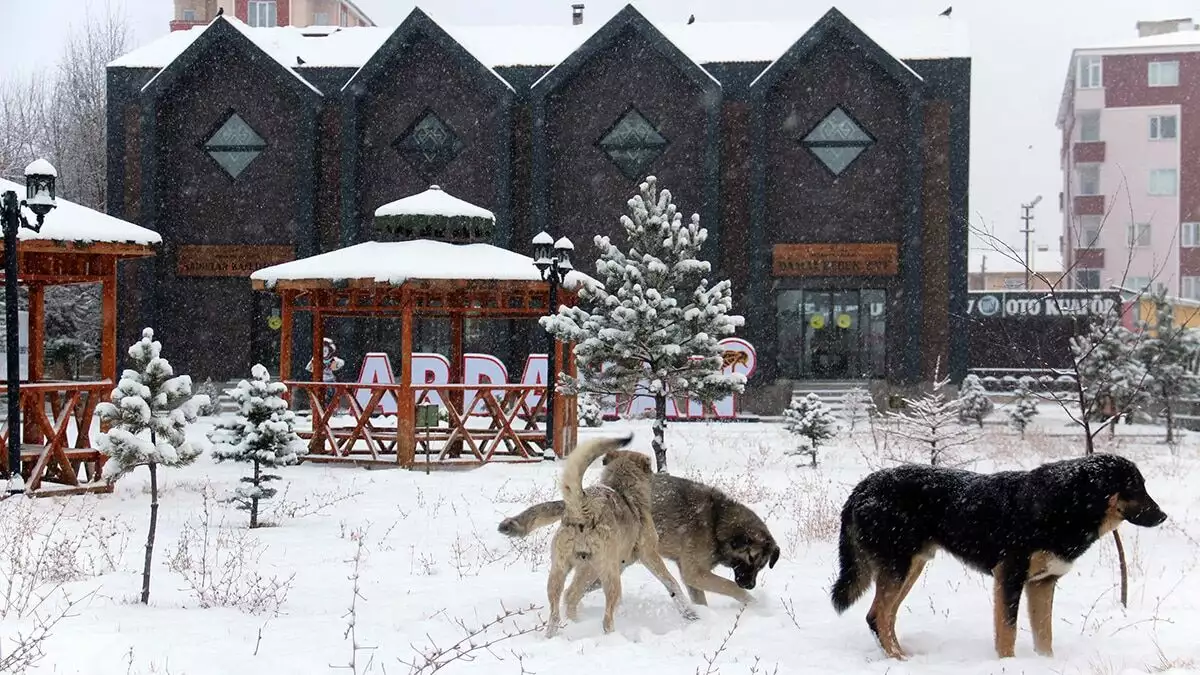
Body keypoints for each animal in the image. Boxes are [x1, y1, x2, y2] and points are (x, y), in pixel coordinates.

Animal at [542, 432, 696, 634]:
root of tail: (583, 508)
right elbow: (671, 583)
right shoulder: (649, 554)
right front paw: (689, 612)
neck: (622, 487)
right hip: (607, 574)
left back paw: (567, 627)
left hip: (562, 572)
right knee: (604, 616)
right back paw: (610, 634)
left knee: (561, 605)